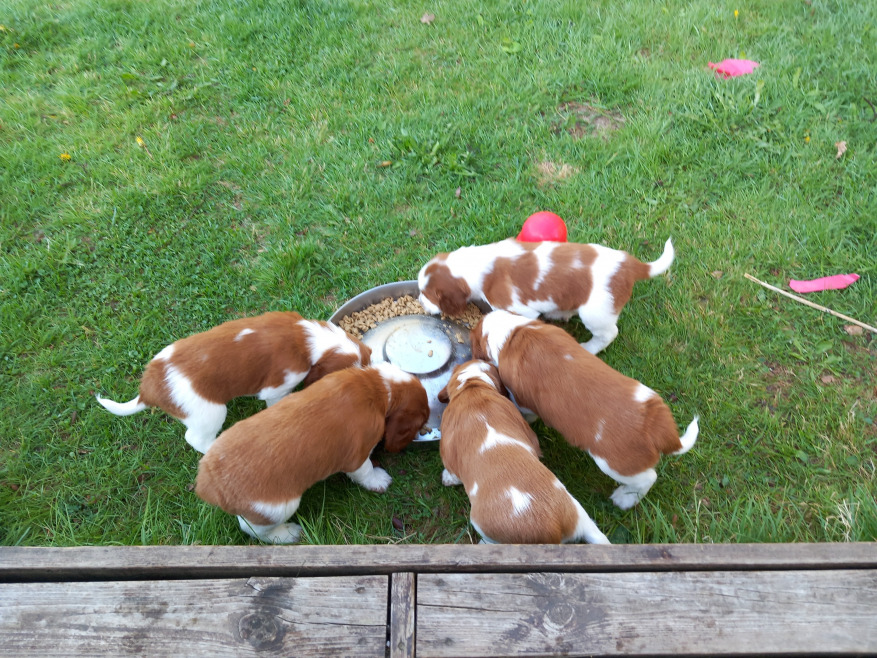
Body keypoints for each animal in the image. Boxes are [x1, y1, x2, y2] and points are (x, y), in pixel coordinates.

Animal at [195, 362, 429, 543]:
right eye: (421, 421)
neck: (375, 387)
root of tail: (208, 483)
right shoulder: (357, 456)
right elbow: (366, 472)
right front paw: (379, 481)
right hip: (279, 508)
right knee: (252, 529)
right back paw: (287, 534)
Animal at [417, 237, 674, 353]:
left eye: (428, 294)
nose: (420, 302)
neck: (478, 264)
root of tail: (630, 264)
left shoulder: (520, 308)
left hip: (596, 313)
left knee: (609, 334)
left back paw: (589, 347)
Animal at [438, 360, 610, 544]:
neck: (472, 386)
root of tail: (552, 528)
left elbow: (452, 473)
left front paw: (447, 479)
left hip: (482, 525)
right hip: (579, 515)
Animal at [470, 310, 699, 509]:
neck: (514, 335)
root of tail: (657, 426)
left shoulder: (522, 398)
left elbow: (526, 411)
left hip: (615, 465)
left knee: (648, 478)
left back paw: (624, 498)